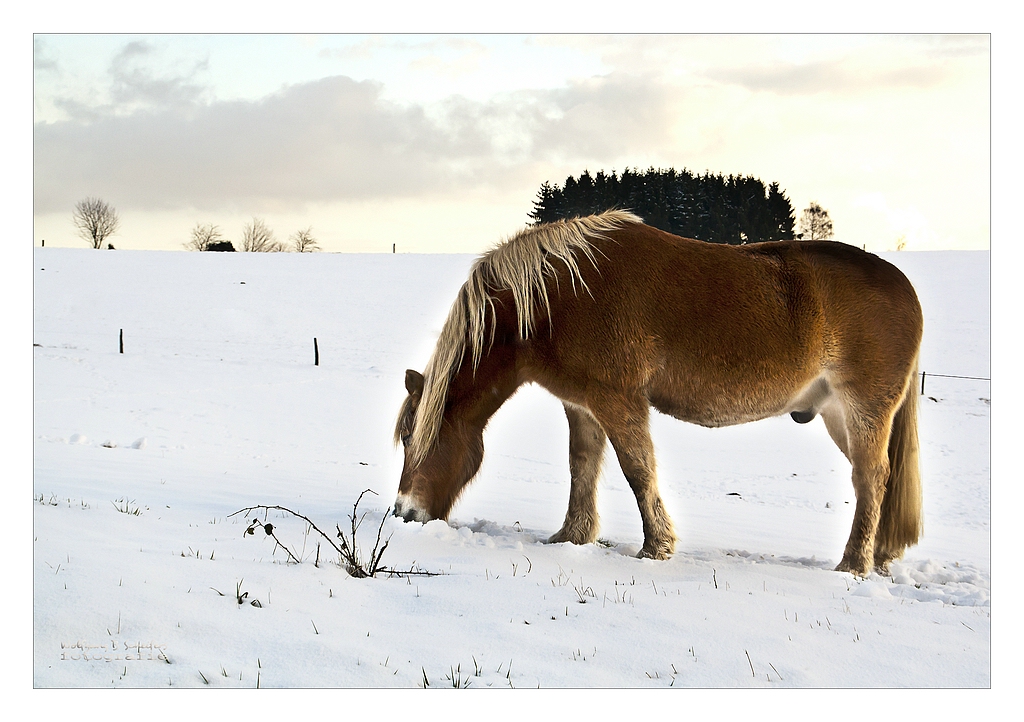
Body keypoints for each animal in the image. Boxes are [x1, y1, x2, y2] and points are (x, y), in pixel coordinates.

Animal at [389, 208, 921, 573]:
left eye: (418, 437)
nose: (404, 512)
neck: (558, 297)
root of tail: (903, 286)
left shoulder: (618, 400)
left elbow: (637, 470)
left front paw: (655, 548)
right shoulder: (582, 405)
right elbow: (582, 467)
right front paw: (571, 536)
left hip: (863, 409)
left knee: (871, 478)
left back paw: (853, 565)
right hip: (835, 414)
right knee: (877, 479)